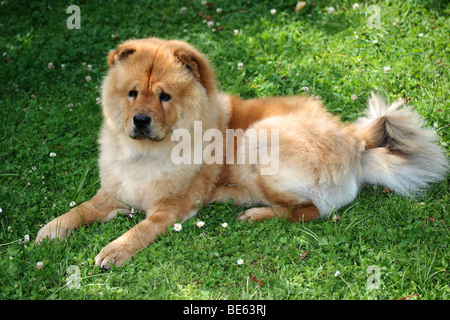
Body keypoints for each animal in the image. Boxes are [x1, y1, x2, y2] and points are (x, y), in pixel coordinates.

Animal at [35, 37, 446, 268]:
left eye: (164, 96)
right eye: (133, 92)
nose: (139, 120)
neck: (146, 153)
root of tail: (355, 142)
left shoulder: (170, 210)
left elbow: (139, 230)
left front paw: (113, 251)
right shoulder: (112, 193)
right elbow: (80, 210)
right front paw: (50, 230)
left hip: (261, 139)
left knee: (309, 211)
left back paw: (255, 214)